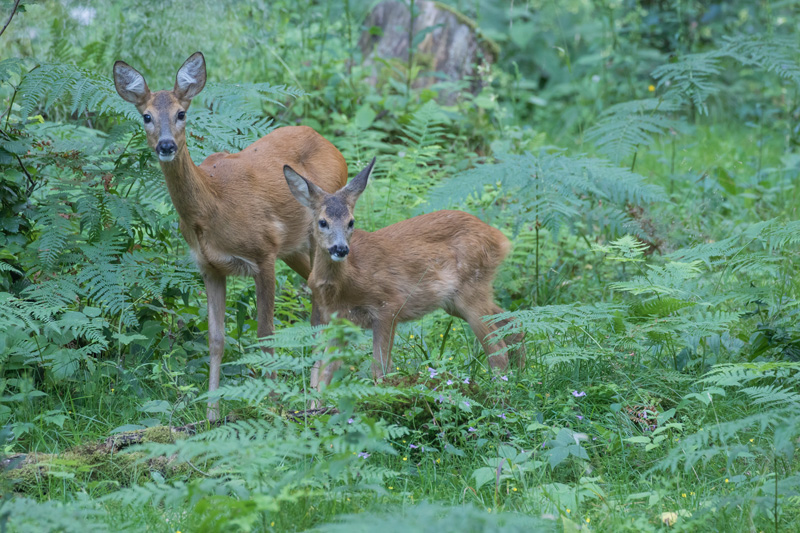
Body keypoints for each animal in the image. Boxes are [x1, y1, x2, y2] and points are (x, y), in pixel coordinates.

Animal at [113, 52, 346, 418]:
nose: (166, 145)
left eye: (181, 113)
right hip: (295, 249)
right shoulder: (209, 267)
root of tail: (333, 147)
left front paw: (273, 405)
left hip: (318, 238)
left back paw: (315, 398)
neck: (213, 207)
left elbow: (265, 334)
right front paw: (211, 414)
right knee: (318, 302)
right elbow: (216, 339)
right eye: (146, 116)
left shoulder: (264, 252)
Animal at [282, 156, 524, 388]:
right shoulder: (338, 321)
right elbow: (323, 372)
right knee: (513, 321)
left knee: (497, 351)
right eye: (323, 222)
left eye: (351, 222)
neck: (347, 281)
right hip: (456, 301)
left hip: (471, 289)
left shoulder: (389, 305)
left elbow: (380, 370)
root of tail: (500, 239)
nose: (341, 249)